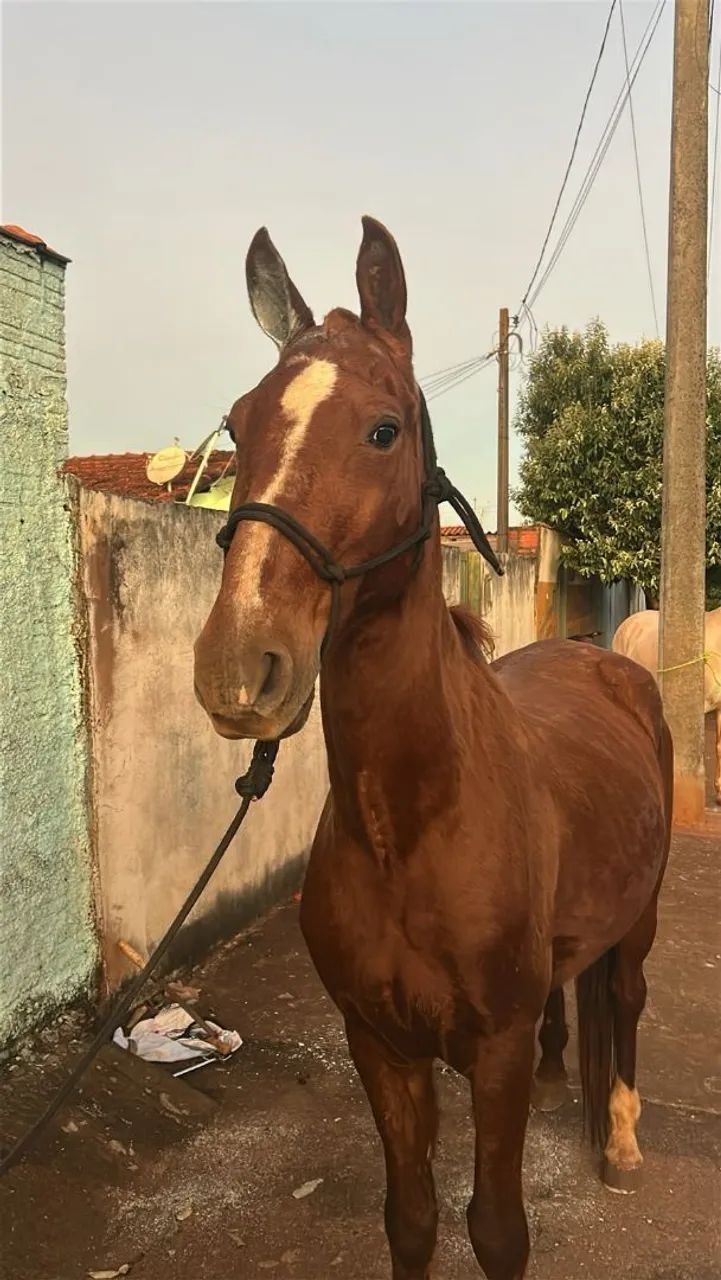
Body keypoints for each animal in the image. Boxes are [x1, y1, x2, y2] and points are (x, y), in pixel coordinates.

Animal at [193, 217, 673, 1280]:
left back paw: (622, 1139)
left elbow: (496, 1229)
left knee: (623, 999)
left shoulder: (487, 1057)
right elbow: (408, 1220)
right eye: (239, 427)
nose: (239, 668)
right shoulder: (380, 1046)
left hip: (640, 917)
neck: (410, 828)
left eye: (383, 430)